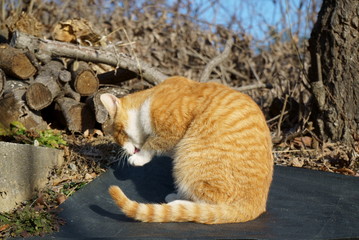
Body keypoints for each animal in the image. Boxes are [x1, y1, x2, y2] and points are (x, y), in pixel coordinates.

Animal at [100, 76, 274, 224]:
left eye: (119, 134)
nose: (126, 151)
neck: (149, 98)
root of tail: (256, 206)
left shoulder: (173, 128)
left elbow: (152, 143)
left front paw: (139, 157)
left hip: (188, 158)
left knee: (207, 205)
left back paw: (178, 204)